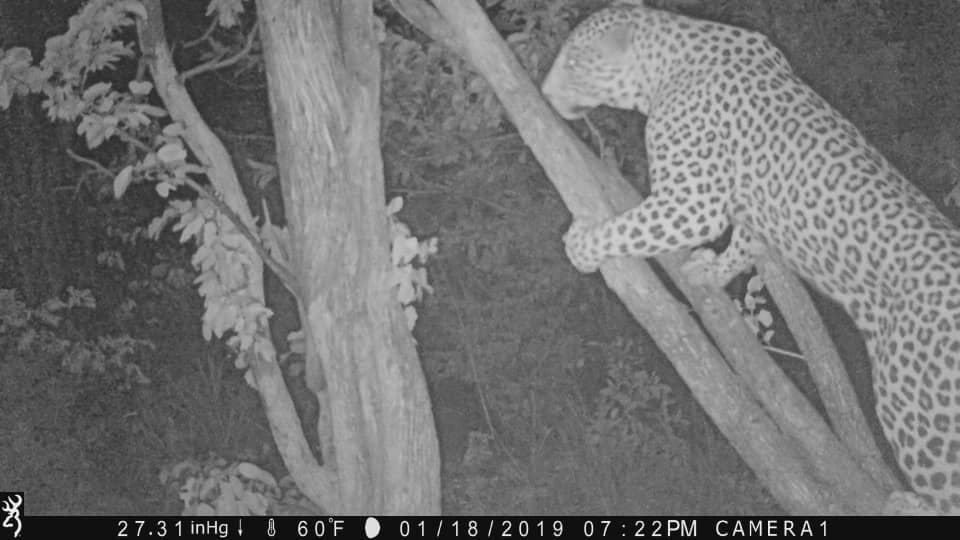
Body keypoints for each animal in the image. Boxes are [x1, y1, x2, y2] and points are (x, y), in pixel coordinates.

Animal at [540, 4, 960, 512]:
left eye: (575, 62)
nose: (544, 93)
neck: (668, 59)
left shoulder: (691, 202)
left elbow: (628, 228)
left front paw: (582, 245)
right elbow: (745, 239)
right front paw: (712, 270)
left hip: (918, 415)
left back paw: (907, 502)